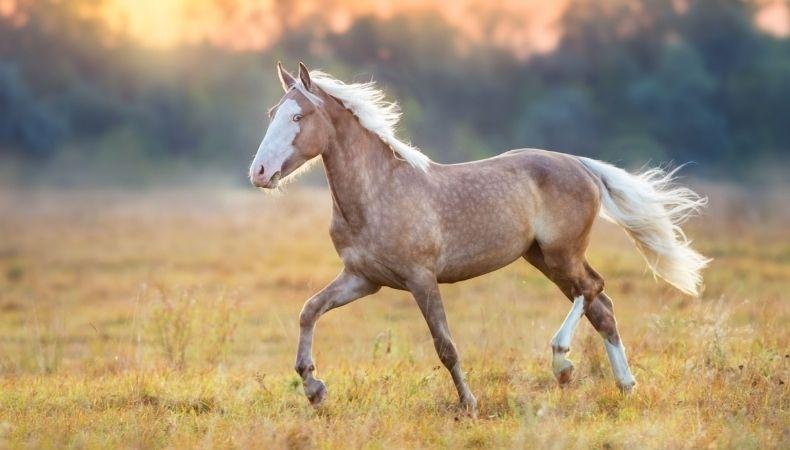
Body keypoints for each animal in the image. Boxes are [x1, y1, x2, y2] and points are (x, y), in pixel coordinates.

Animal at [249, 62, 712, 414]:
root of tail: (580, 164)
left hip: (561, 254)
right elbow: (309, 310)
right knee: (603, 308)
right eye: (271, 113)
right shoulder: (363, 279)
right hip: (542, 258)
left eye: (297, 117)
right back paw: (625, 385)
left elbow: (445, 346)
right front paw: (314, 388)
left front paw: (469, 404)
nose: (259, 173)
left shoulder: (420, 279)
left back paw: (562, 363)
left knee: (593, 288)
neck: (377, 192)